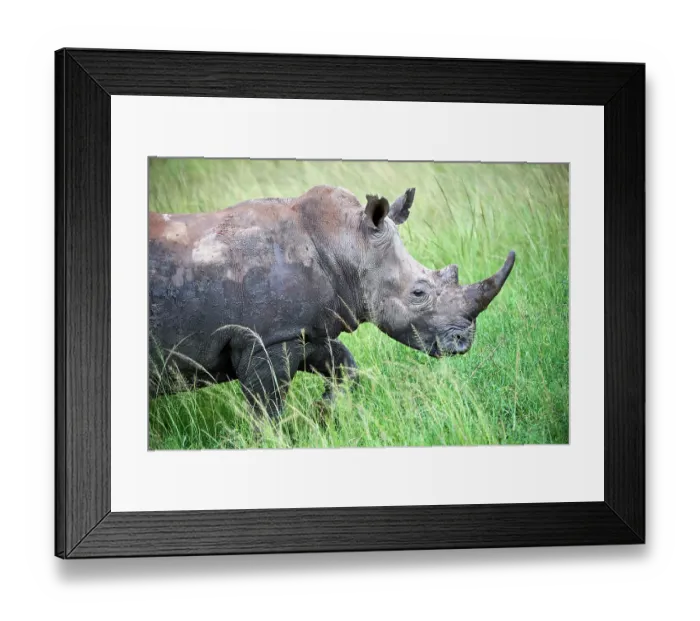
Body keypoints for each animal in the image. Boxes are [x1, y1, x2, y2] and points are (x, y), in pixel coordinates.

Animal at [148, 185, 515, 416]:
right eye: (418, 293)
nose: (464, 342)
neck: (346, 242)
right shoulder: (264, 339)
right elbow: (267, 410)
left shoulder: (305, 328)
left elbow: (345, 366)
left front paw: (323, 412)